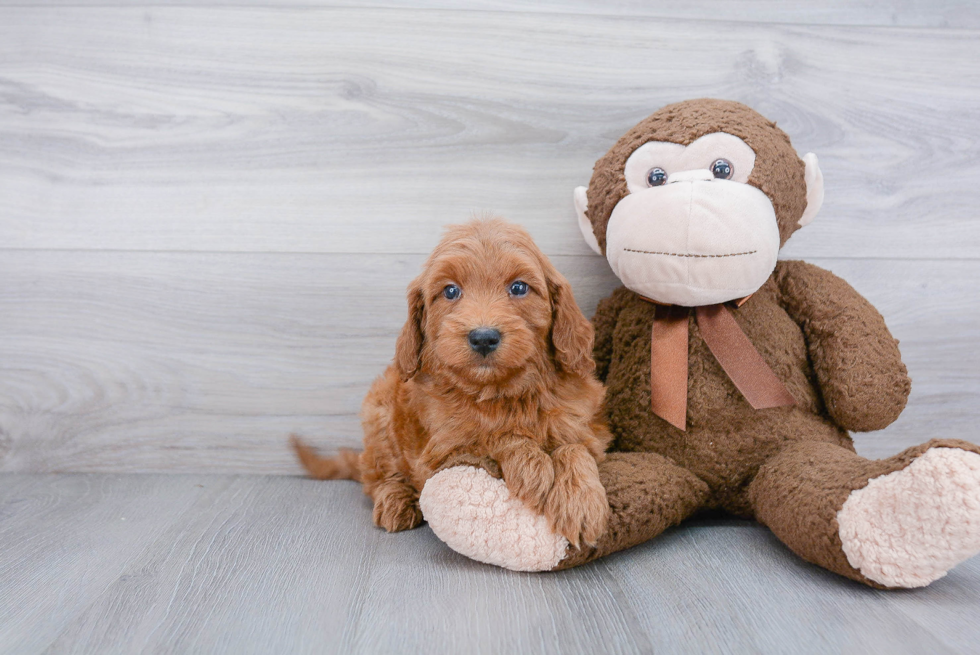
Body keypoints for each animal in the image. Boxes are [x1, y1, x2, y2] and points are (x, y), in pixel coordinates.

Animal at [292, 219, 612, 548]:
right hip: (378, 415)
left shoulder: (588, 428)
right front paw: (532, 464)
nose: (483, 337)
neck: (501, 392)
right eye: (450, 291)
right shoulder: (443, 451)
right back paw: (395, 501)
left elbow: (574, 448)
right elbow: (492, 437)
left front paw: (581, 503)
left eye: (519, 287)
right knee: (379, 477)